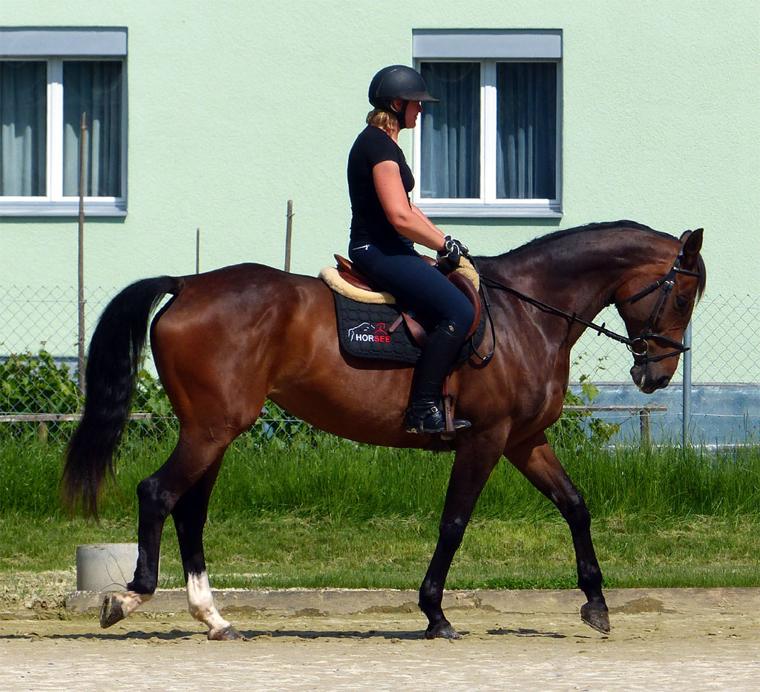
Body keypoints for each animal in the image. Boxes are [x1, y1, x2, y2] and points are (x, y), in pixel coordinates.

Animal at [63, 220, 706, 641]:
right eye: (682, 294)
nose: (655, 374)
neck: (527, 313)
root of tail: (189, 284)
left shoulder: (524, 441)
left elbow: (575, 505)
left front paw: (596, 603)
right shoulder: (486, 439)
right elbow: (454, 524)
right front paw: (435, 614)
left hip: (213, 432)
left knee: (190, 510)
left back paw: (214, 617)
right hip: (211, 429)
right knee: (158, 493)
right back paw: (130, 596)